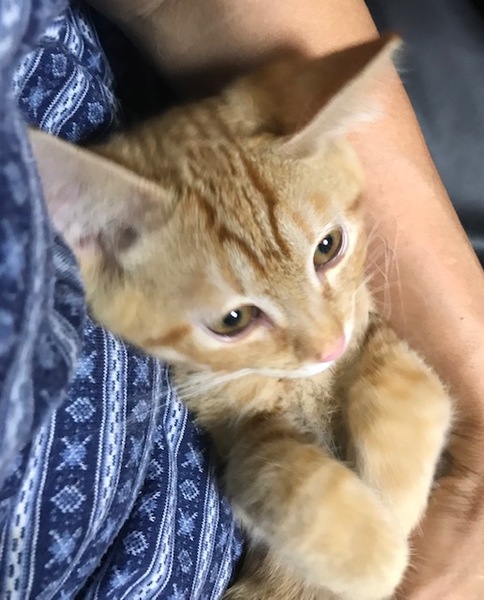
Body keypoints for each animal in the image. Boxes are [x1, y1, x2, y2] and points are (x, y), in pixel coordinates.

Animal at [29, 35, 452, 600]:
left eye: (328, 248)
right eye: (233, 321)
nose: (329, 347)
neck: (307, 384)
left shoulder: (369, 325)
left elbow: (410, 386)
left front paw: (396, 504)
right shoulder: (233, 430)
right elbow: (280, 473)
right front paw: (376, 556)